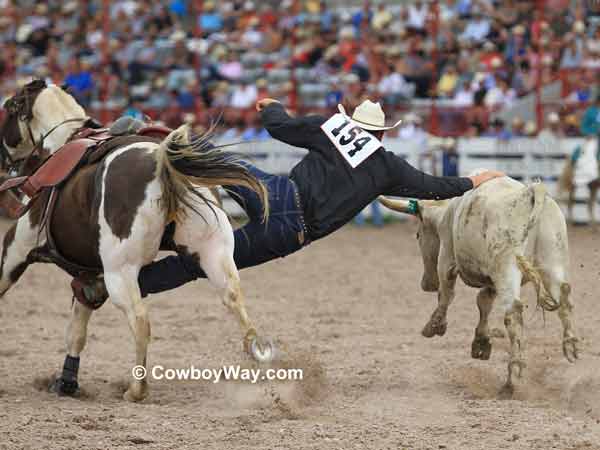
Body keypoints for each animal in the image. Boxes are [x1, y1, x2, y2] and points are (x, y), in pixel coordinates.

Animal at [0, 80, 272, 400]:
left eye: (8, 108)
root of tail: (161, 161)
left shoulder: (16, 250)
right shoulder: (88, 275)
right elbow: (77, 331)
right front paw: (66, 382)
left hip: (121, 272)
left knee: (140, 320)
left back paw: (136, 389)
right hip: (212, 252)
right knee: (233, 298)